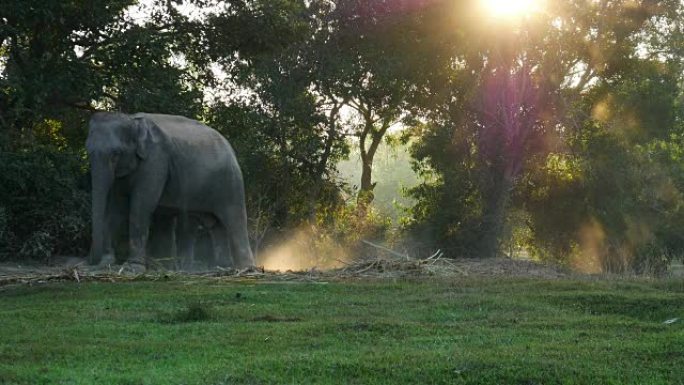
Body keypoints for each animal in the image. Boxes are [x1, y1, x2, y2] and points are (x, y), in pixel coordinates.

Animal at [86, 111, 254, 270]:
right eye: (88, 152)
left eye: (116, 154)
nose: (93, 261)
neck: (132, 120)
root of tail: (230, 147)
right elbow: (117, 208)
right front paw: (109, 263)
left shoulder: (155, 160)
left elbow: (140, 206)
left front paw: (132, 268)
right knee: (208, 224)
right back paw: (219, 267)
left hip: (230, 181)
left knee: (234, 218)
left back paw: (245, 269)